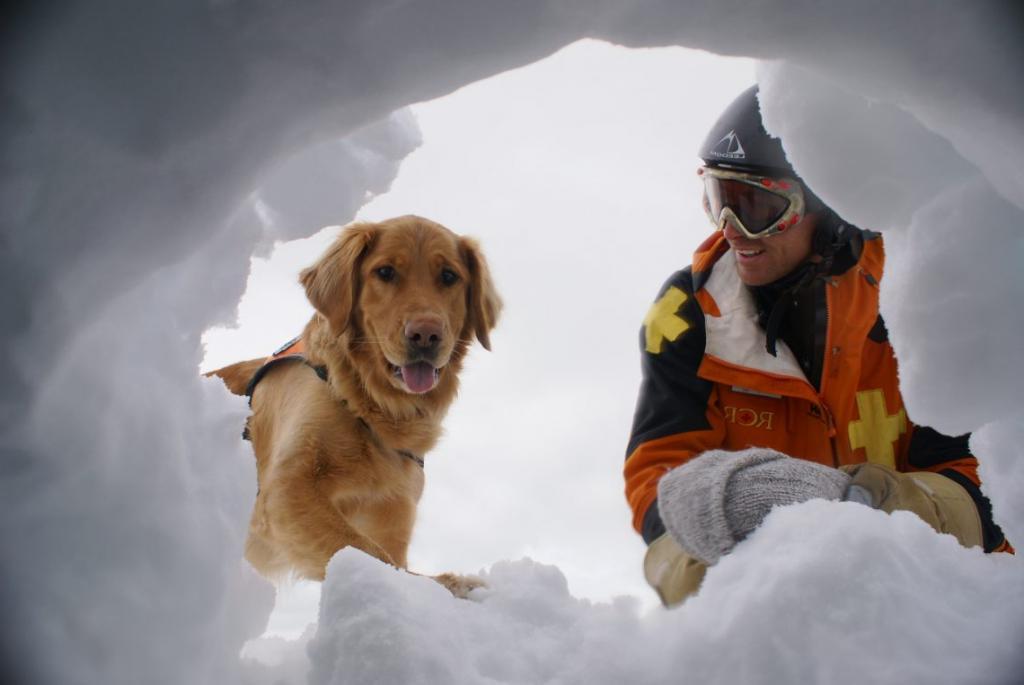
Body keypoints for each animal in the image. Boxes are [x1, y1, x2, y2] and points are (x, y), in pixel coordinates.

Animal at [207, 213, 499, 593]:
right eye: (385, 272)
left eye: (449, 276)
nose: (426, 335)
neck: (369, 408)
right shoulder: (287, 485)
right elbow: (370, 554)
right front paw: (450, 586)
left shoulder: (393, 510)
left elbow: (388, 557)